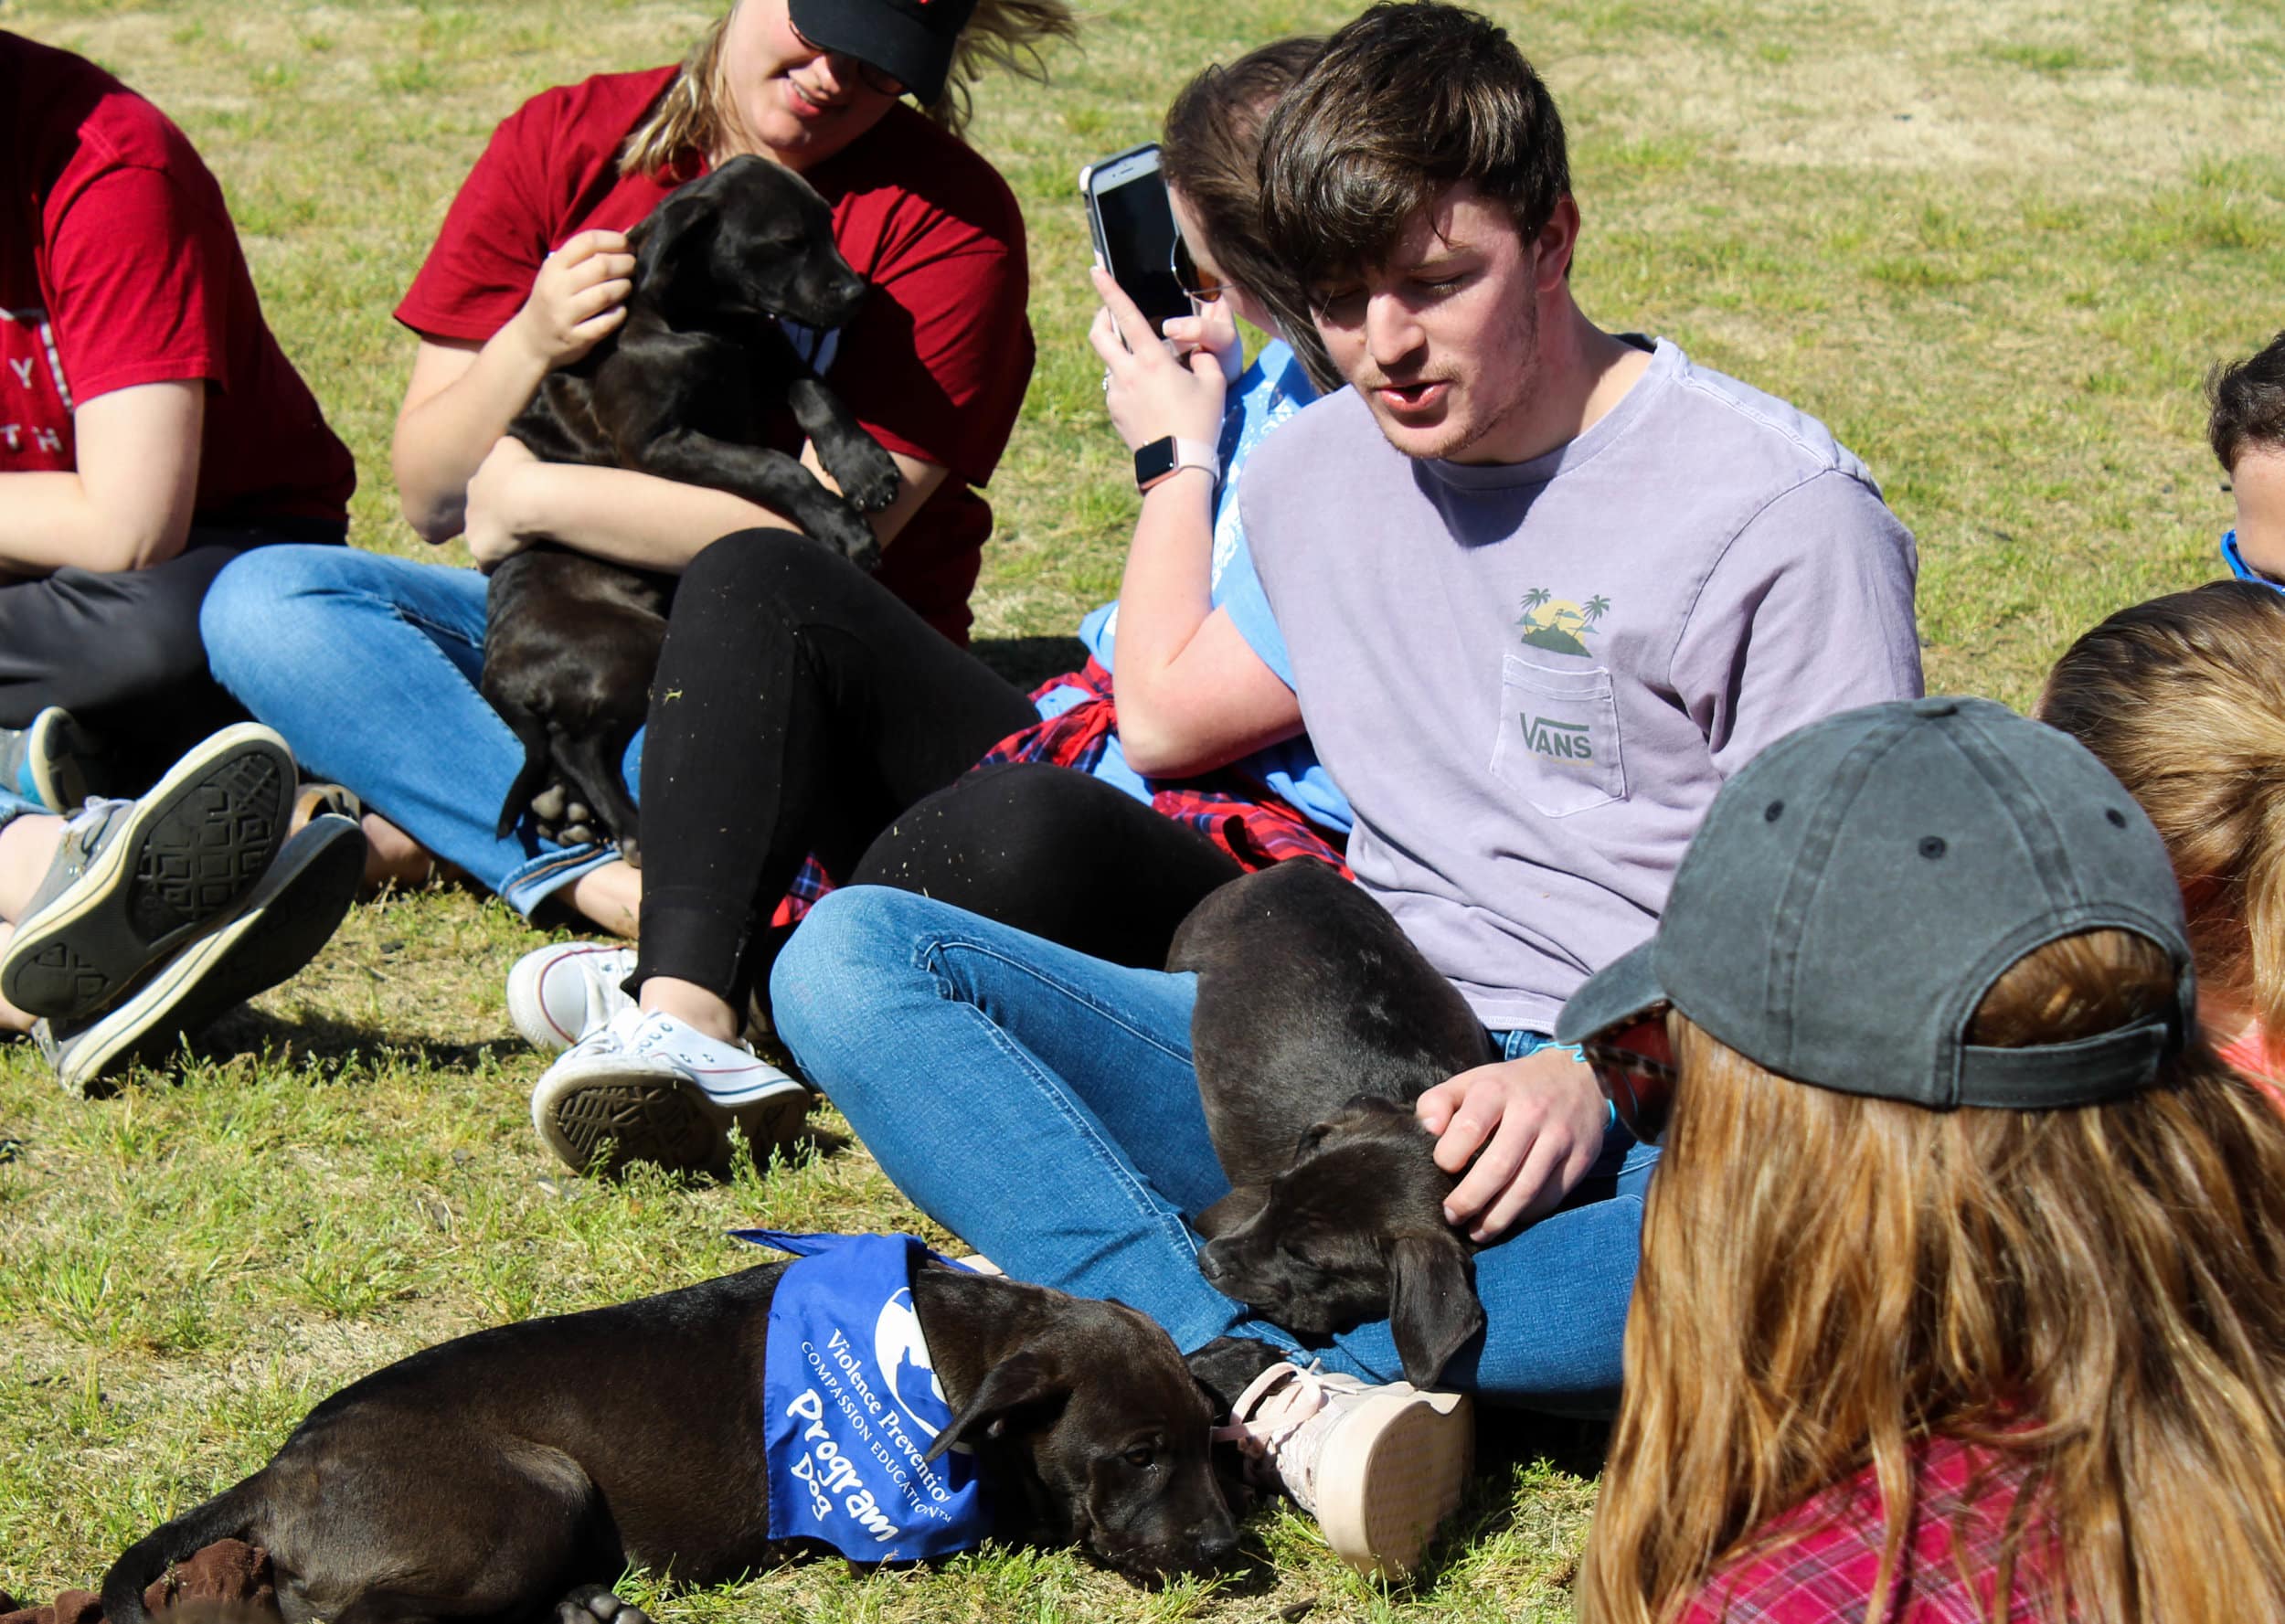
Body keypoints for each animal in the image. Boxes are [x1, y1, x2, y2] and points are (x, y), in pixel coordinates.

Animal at [477, 154, 896, 863]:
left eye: (828, 228)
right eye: (788, 241)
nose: (857, 295)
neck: (695, 318)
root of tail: (497, 672)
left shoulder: (764, 351)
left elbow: (817, 391)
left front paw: (866, 467)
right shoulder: (658, 445)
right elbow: (773, 464)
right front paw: (843, 528)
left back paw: (571, 811)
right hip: (637, 645)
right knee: (580, 745)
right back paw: (632, 829)